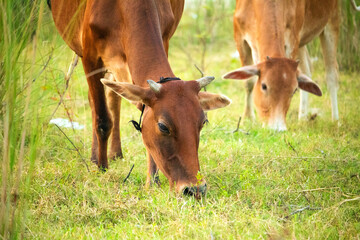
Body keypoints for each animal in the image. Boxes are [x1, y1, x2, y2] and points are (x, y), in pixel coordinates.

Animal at [50, 0, 231, 197]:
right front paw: (102, 169)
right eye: (163, 126)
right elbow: (102, 120)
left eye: (202, 123)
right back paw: (95, 158)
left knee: (113, 97)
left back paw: (115, 153)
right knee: (96, 104)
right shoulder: (90, 57)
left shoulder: (165, 38)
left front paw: (152, 182)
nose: (195, 189)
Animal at [222, 0, 340, 131]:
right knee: (307, 69)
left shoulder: (293, 39)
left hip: (332, 20)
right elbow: (249, 82)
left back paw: (336, 121)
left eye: (294, 90)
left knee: (331, 75)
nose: (277, 129)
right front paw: (248, 118)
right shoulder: (240, 38)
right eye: (264, 86)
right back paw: (303, 118)